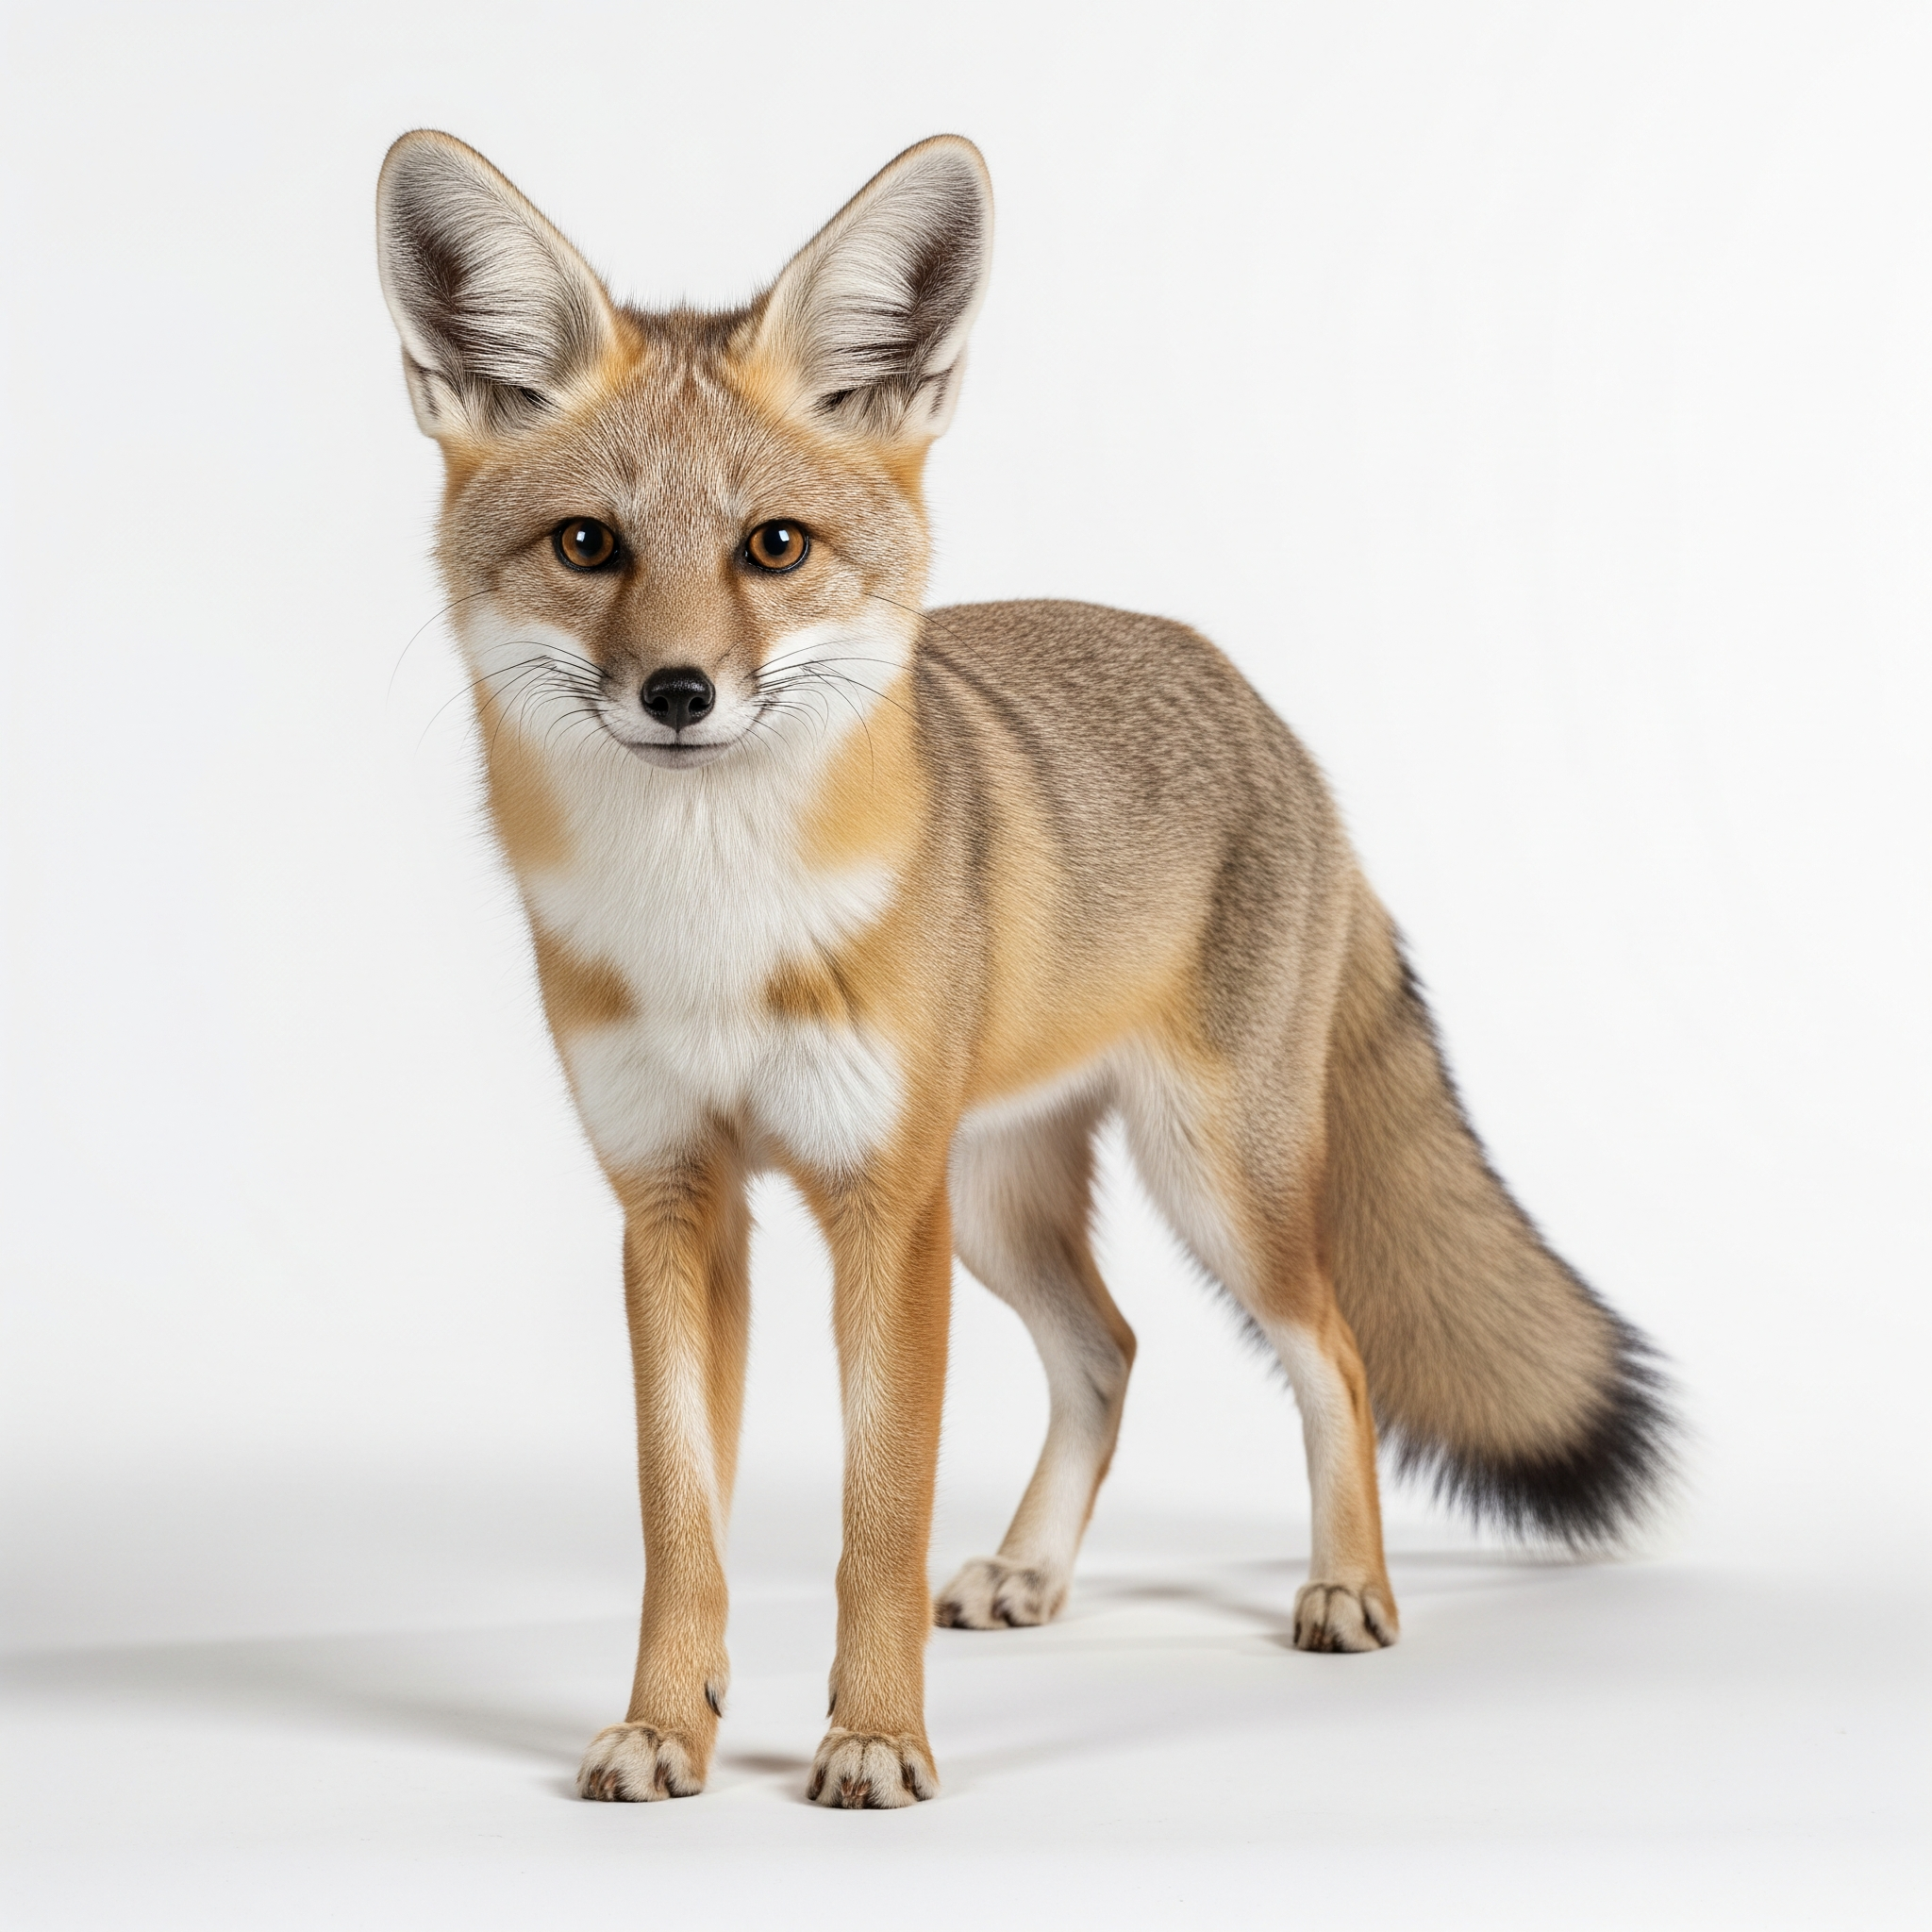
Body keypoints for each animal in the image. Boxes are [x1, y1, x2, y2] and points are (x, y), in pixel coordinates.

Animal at [375, 129, 1674, 1810]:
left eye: (772, 548)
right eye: (589, 546)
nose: (678, 693)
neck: (717, 930)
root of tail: (1262, 709)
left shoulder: (882, 1206)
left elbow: (877, 1510)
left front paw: (873, 1737)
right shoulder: (674, 1201)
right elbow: (681, 1520)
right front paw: (670, 1723)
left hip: (1203, 1183)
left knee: (1333, 1354)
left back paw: (1347, 1585)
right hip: (999, 1198)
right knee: (1108, 1349)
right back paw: (1035, 1572)